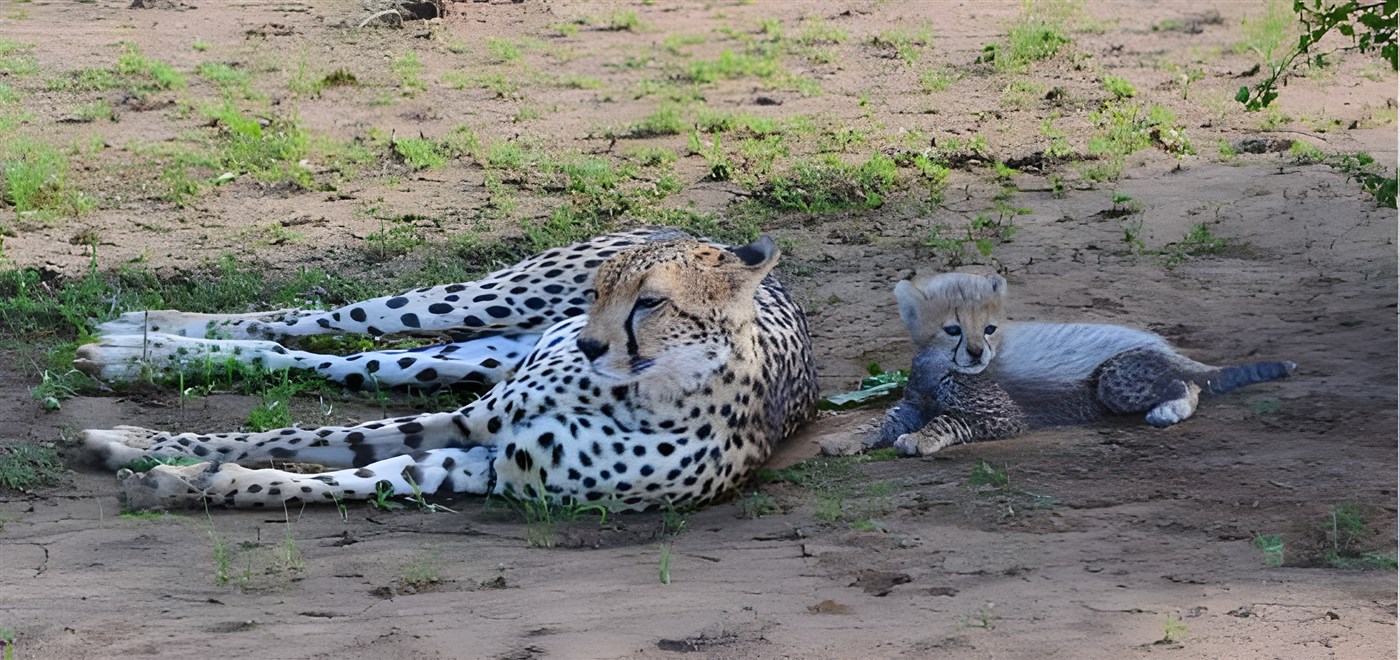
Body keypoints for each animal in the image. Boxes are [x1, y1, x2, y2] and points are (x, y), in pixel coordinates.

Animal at [78, 228, 819, 511]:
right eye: (600, 292)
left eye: (651, 302)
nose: (585, 344)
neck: (646, 395)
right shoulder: (475, 421)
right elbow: (285, 436)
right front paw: (141, 445)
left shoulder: (489, 461)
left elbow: (348, 475)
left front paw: (185, 481)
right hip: (481, 302)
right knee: (327, 320)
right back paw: (142, 335)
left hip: (460, 359)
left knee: (339, 361)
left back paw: (141, 348)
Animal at [865, 272, 1295, 456]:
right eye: (953, 329)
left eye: (989, 329)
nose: (976, 353)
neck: (938, 369)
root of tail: (1165, 346)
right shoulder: (914, 402)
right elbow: (882, 419)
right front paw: (853, 439)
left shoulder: (1005, 416)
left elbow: (946, 420)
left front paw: (918, 439)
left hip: (1114, 377)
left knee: (1188, 385)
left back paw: (1168, 410)